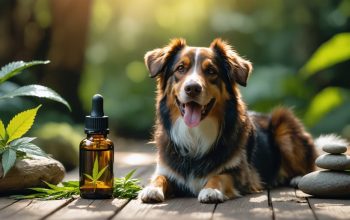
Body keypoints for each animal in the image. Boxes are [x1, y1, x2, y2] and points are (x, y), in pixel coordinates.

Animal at [140, 38, 348, 204]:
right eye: (180, 68)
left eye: (211, 71)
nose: (192, 88)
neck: (195, 135)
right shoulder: (167, 170)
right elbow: (159, 178)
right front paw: (151, 189)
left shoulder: (241, 174)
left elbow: (219, 176)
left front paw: (210, 190)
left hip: (284, 125)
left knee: (309, 164)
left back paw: (297, 178)